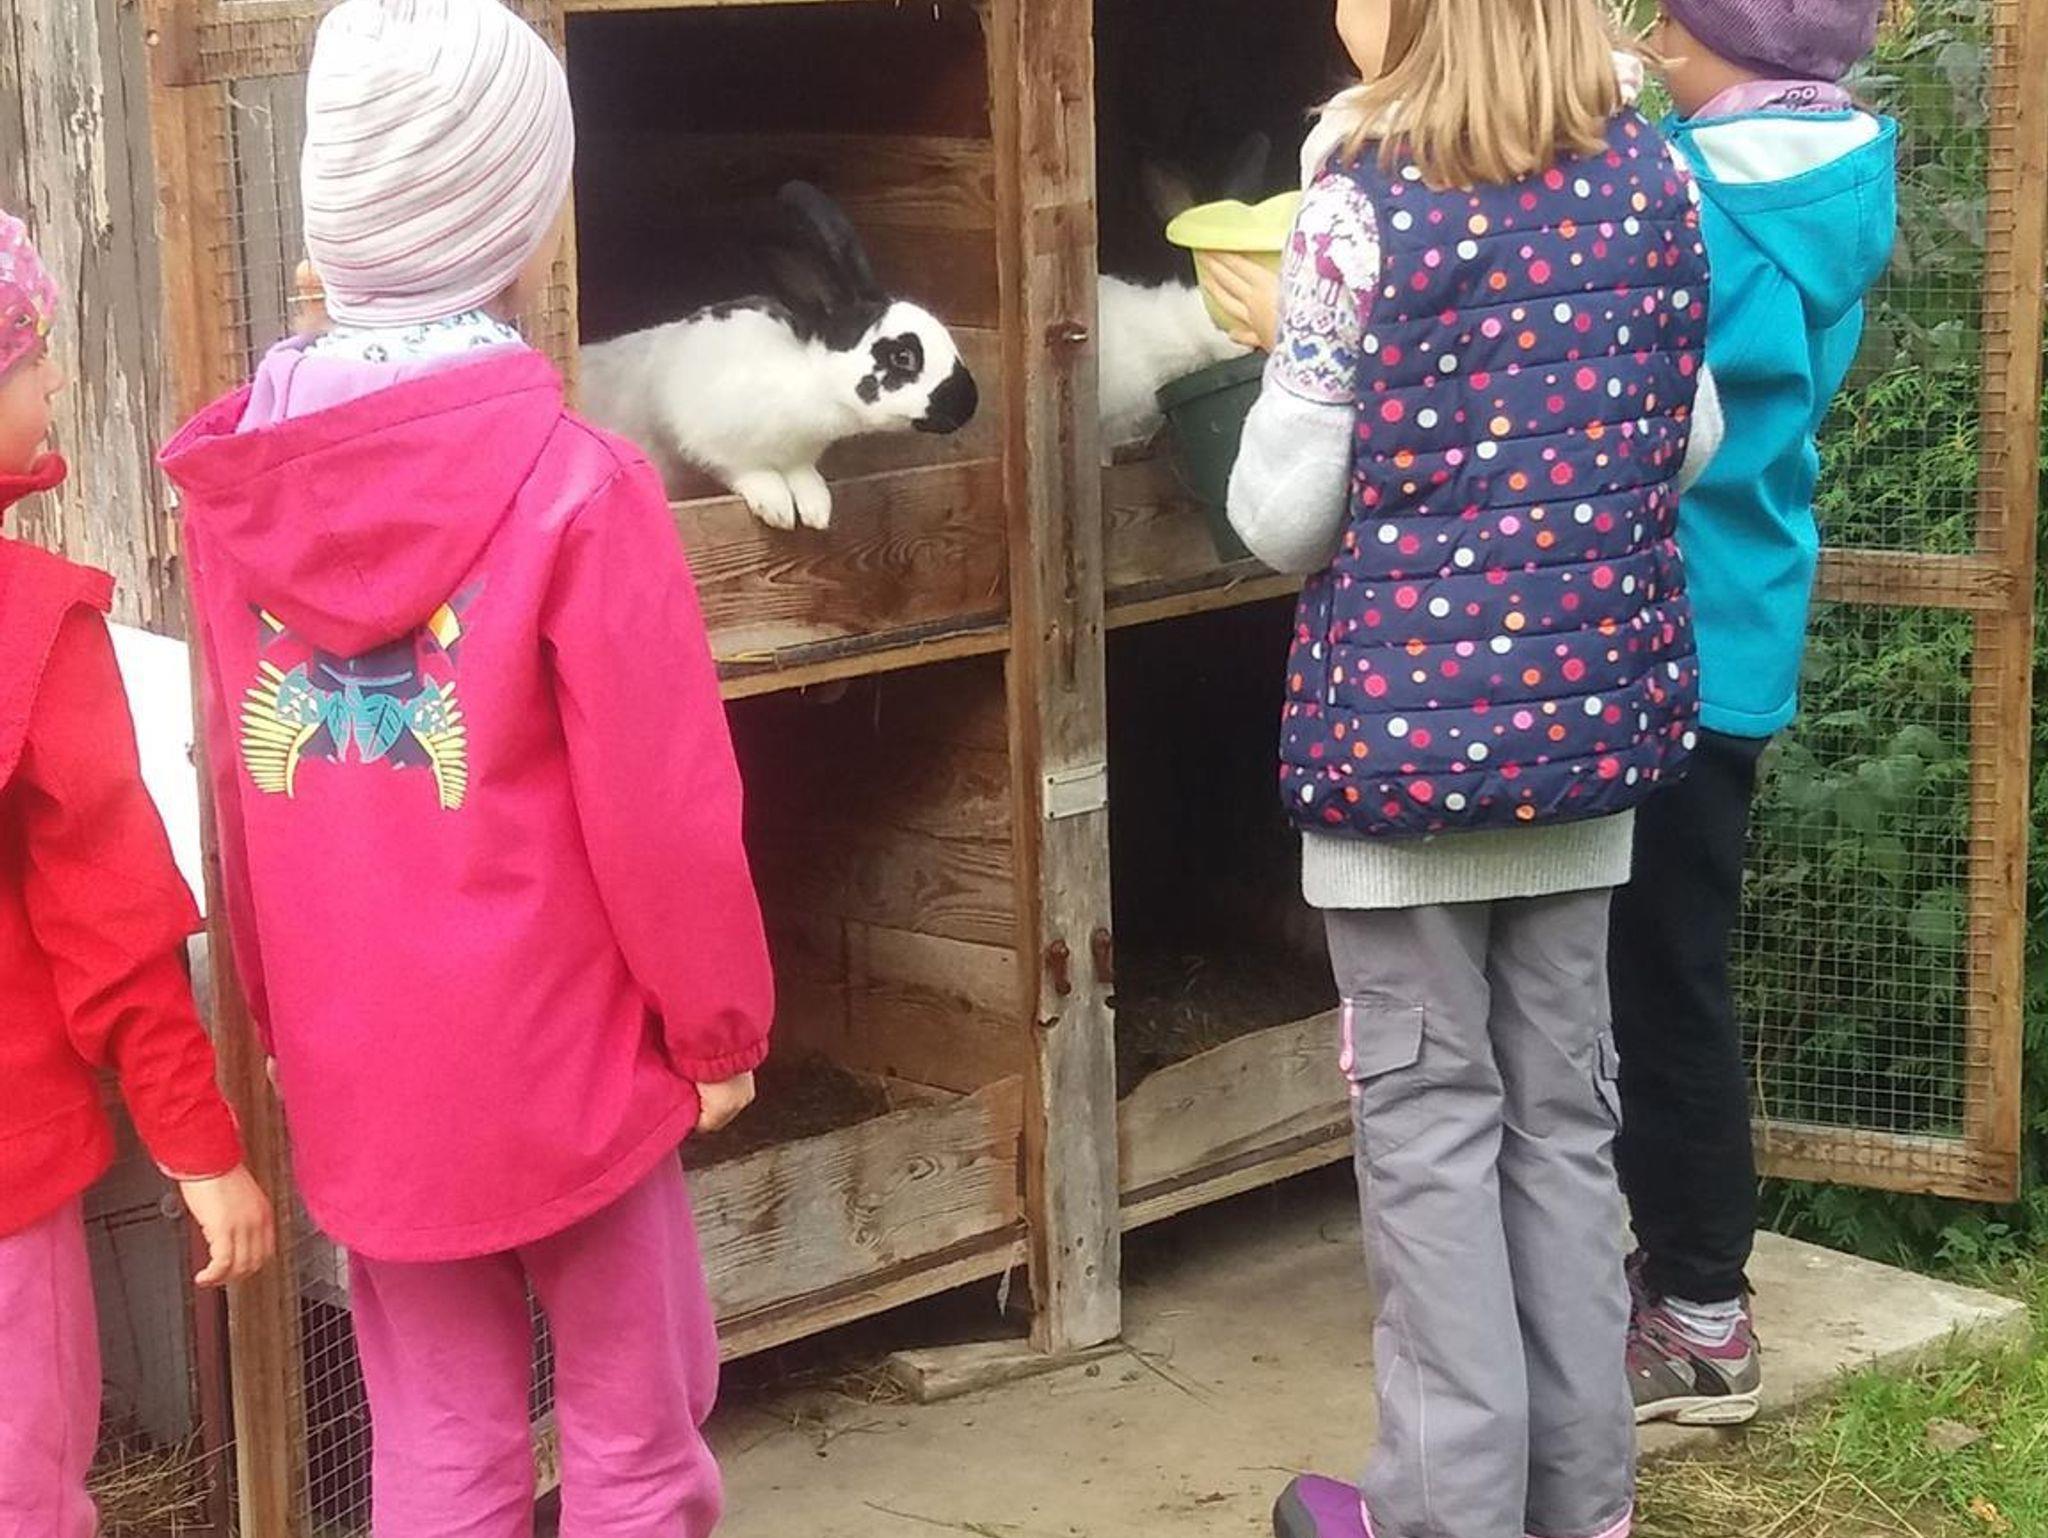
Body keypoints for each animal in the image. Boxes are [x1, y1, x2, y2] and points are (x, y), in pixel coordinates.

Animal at [578, 182, 978, 531]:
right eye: (903, 357)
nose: (968, 404)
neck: (811, 380)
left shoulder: (797, 459)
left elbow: (803, 477)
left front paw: (816, 507)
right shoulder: (710, 441)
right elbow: (746, 471)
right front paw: (778, 507)